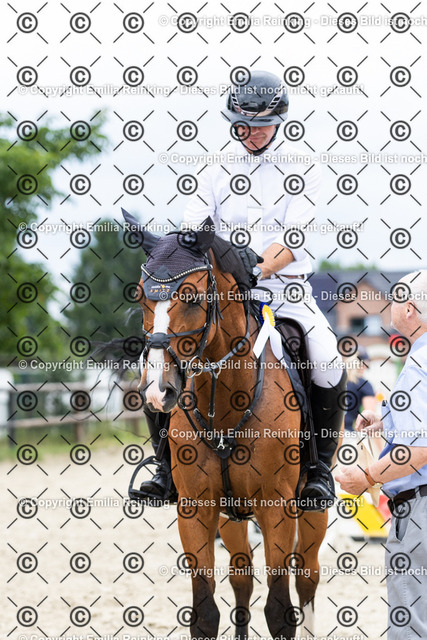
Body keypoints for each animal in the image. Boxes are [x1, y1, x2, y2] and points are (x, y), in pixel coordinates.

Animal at [124, 210, 328, 640]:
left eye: (191, 297)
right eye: (141, 296)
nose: (157, 392)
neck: (225, 400)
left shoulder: (277, 507)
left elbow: (280, 609)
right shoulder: (196, 509)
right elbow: (204, 612)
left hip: (310, 511)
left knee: (307, 575)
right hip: (231, 517)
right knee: (241, 576)